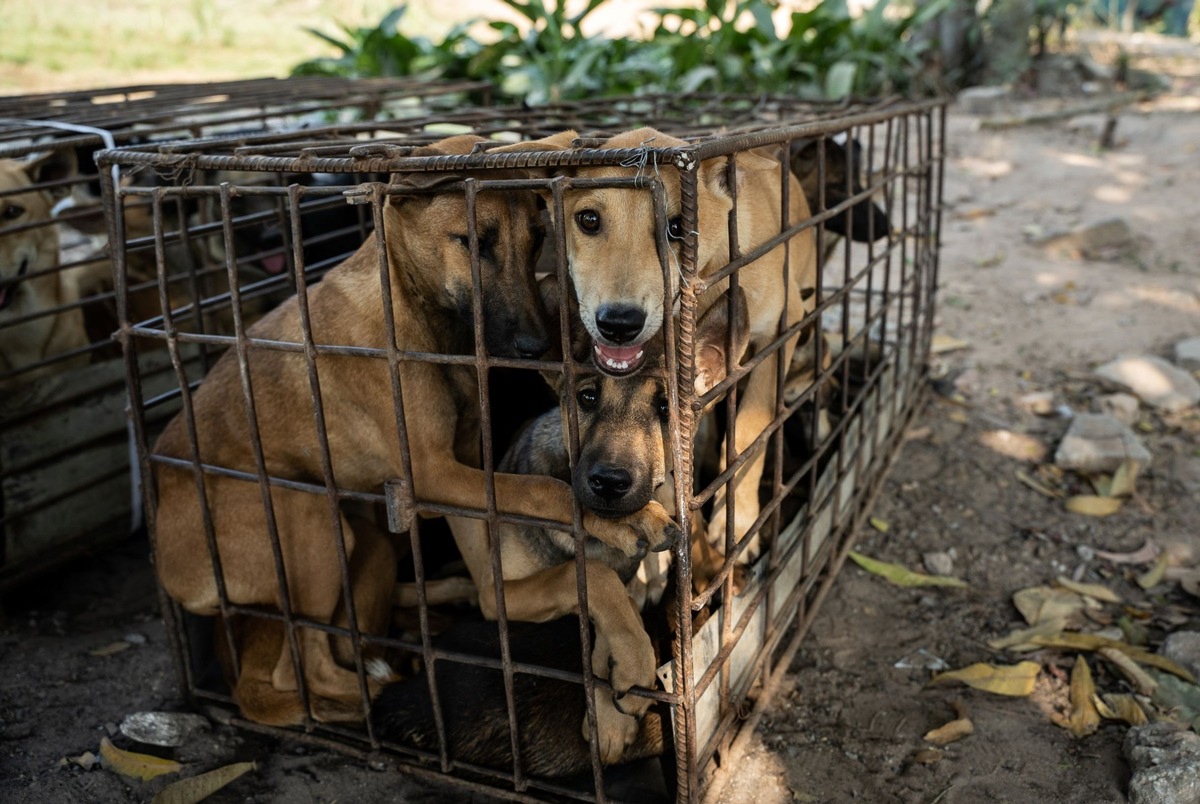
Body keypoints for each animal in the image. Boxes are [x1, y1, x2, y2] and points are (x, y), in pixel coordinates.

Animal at [151, 135, 681, 729]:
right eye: (473, 242)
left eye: (538, 239)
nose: (535, 347)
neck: (410, 308)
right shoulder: (431, 473)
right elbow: (541, 489)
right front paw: (624, 522)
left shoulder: (466, 462)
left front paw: (555, 142)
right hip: (308, 520)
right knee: (304, 665)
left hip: (372, 546)